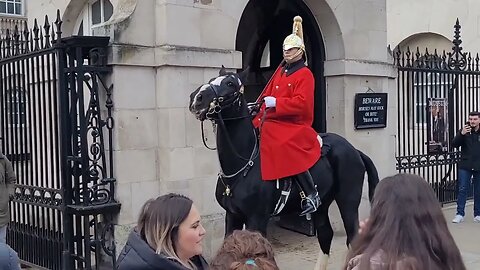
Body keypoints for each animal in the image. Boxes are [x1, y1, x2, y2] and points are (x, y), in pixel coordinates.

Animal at [188, 67, 378, 268]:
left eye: (230, 83)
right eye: (212, 80)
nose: (197, 98)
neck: (243, 166)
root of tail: (354, 149)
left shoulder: (257, 218)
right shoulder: (232, 215)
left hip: (348, 200)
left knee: (353, 237)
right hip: (323, 204)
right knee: (326, 233)